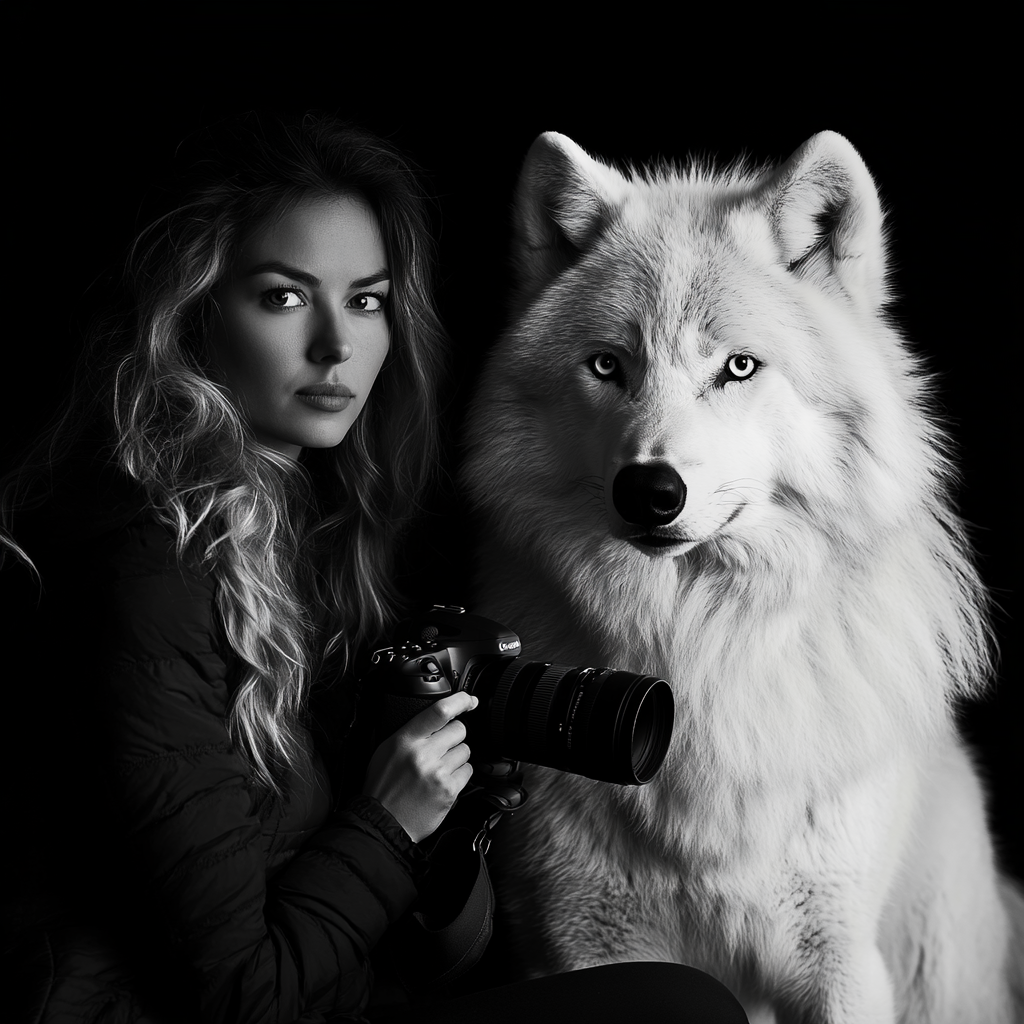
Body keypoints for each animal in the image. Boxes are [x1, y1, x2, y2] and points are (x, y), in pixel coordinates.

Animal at [464, 134, 1024, 1024]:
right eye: (607, 365)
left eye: (737, 367)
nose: (649, 491)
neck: (697, 652)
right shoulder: (586, 944)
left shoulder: (838, 962)